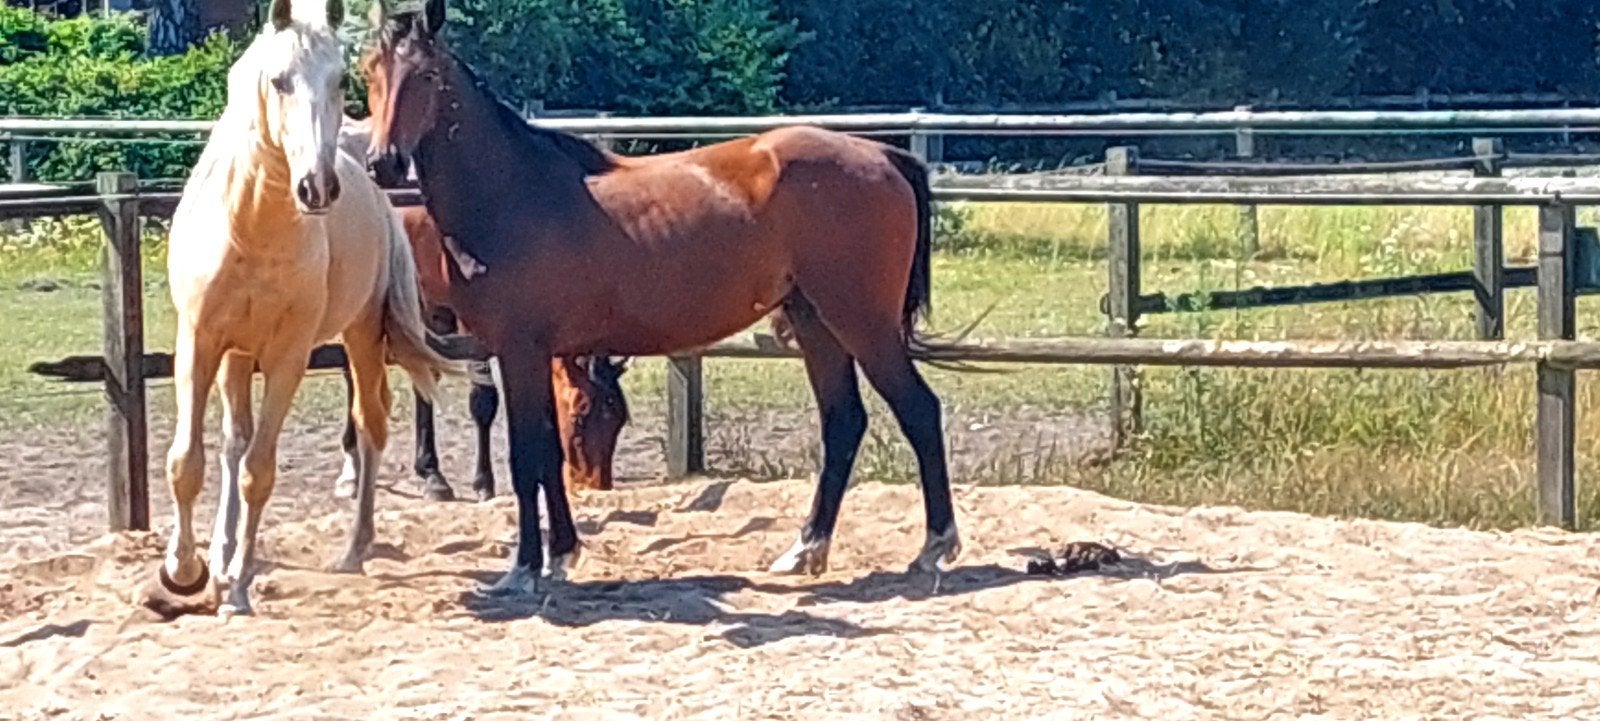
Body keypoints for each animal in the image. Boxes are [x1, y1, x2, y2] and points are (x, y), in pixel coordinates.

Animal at [154, 0, 454, 616]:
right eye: (278, 80)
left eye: (340, 80)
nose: (317, 188)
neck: (249, 226)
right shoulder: (199, 344)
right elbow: (188, 462)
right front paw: (186, 570)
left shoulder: (288, 357)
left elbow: (259, 471)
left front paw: (237, 587)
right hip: (237, 357)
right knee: (232, 440)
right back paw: (220, 552)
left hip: (360, 339)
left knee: (368, 423)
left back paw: (354, 548)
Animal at [362, 0, 961, 596]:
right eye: (371, 71)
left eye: (428, 76)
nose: (383, 162)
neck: (513, 194)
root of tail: (881, 155)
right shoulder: (528, 353)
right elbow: (549, 450)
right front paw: (562, 553)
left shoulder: (518, 350)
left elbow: (528, 453)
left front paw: (525, 568)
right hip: (816, 323)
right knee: (843, 422)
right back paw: (805, 548)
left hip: (861, 322)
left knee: (918, 410)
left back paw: (934, 548)